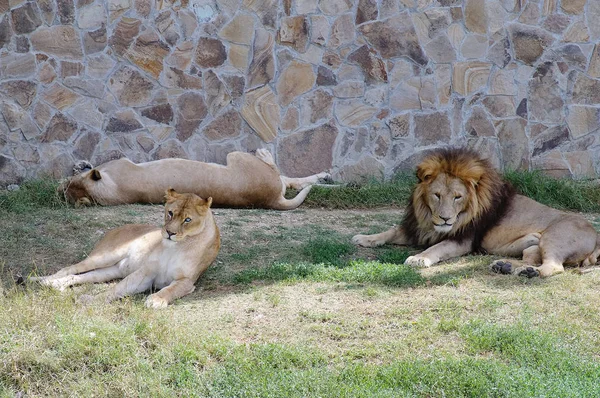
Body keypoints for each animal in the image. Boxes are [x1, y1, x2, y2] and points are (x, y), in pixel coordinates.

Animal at [29, 189, 218, 308]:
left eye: (187, 220)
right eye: (170, 213)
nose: (170, 233)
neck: (176, 247)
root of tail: (117, 228)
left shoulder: (187, 281)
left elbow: (170, 289)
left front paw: (156, 300)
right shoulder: (146, 272)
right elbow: (117, 289)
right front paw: (90, 299)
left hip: (110, 271)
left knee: (78, 277)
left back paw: (54, 284)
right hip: (105, 256)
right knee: (69, 269)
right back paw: (43, 281)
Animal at [352, 148, 600, 278]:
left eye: (457, 197)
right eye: (437, 195)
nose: (445, 218)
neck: (430, 219)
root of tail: (596, 237)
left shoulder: (463, 239)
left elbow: (437, 248)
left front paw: (419, 258)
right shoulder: (419, 228)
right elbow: (390, 231)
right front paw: (364, 238)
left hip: (554, 237)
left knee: (553, 266)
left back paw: (528, 273)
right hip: (532, 247)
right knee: (531, 257)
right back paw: (505, 266)